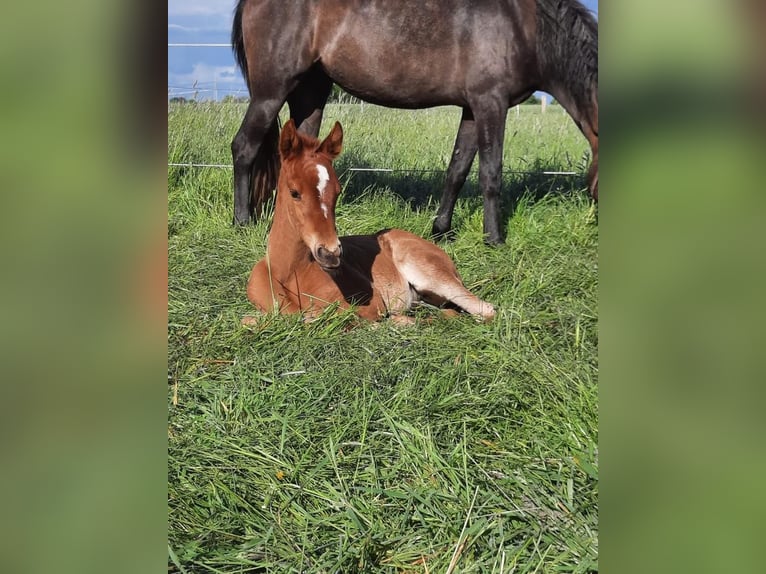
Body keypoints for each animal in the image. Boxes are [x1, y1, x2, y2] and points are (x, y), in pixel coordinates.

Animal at [230, 0, 600, 245]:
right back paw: (242, 221)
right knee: (244, 147)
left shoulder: (472, 109)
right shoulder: (490, 103)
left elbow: (457, 171)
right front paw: (494, 239)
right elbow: (491, 174)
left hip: (311, 92)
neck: (524, 26)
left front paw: (441, 231)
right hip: (271, 91)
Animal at [246, 119, 498, 326]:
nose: (331, 253)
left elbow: (315, 318)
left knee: (485, 310)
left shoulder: (370, 304)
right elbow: (255, 319)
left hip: (430, 272)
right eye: (294, 193)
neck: (289, 273)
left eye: (337, 192)